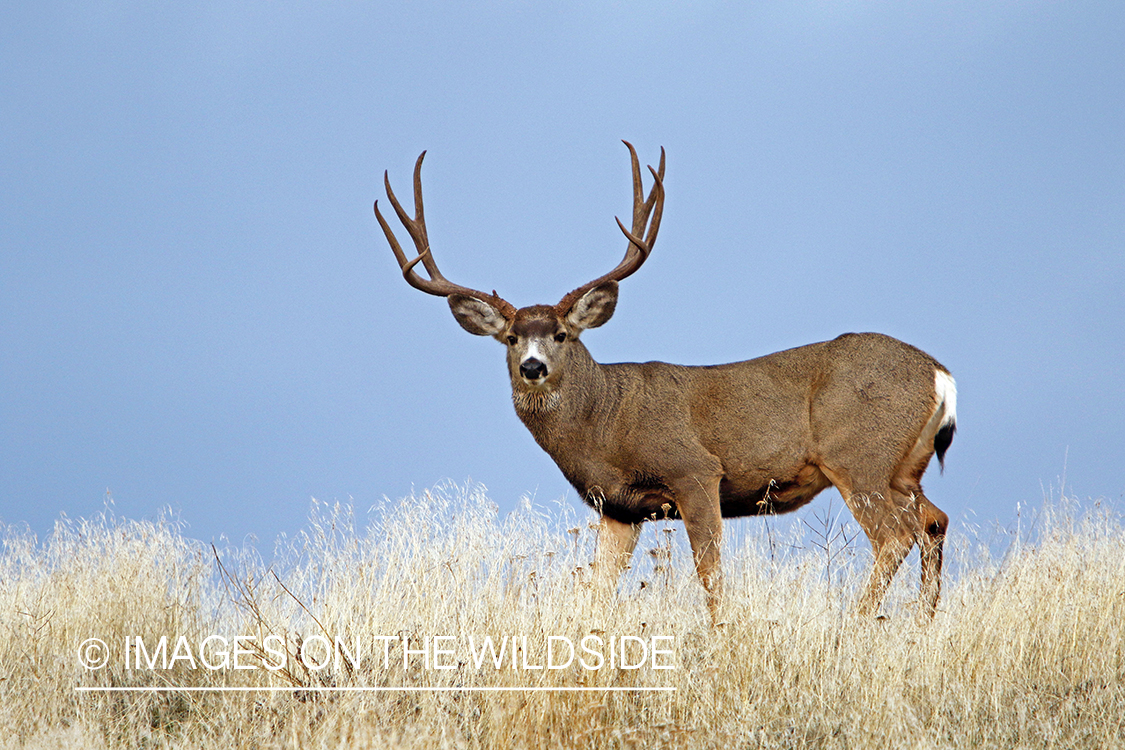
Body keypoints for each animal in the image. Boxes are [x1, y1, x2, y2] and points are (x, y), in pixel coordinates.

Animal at [373, 140, 954, 620]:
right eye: (512, 338)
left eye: (561, 334)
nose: (532, 367)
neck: (604, 424)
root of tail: (940, 374)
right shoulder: (618, 509)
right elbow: (597, 593)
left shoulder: (695, 470)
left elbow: (711, 576)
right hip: (903, 470)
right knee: (934, 522)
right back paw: (919, 625)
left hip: (857, 456)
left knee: (894, 537)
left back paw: (854, 623)